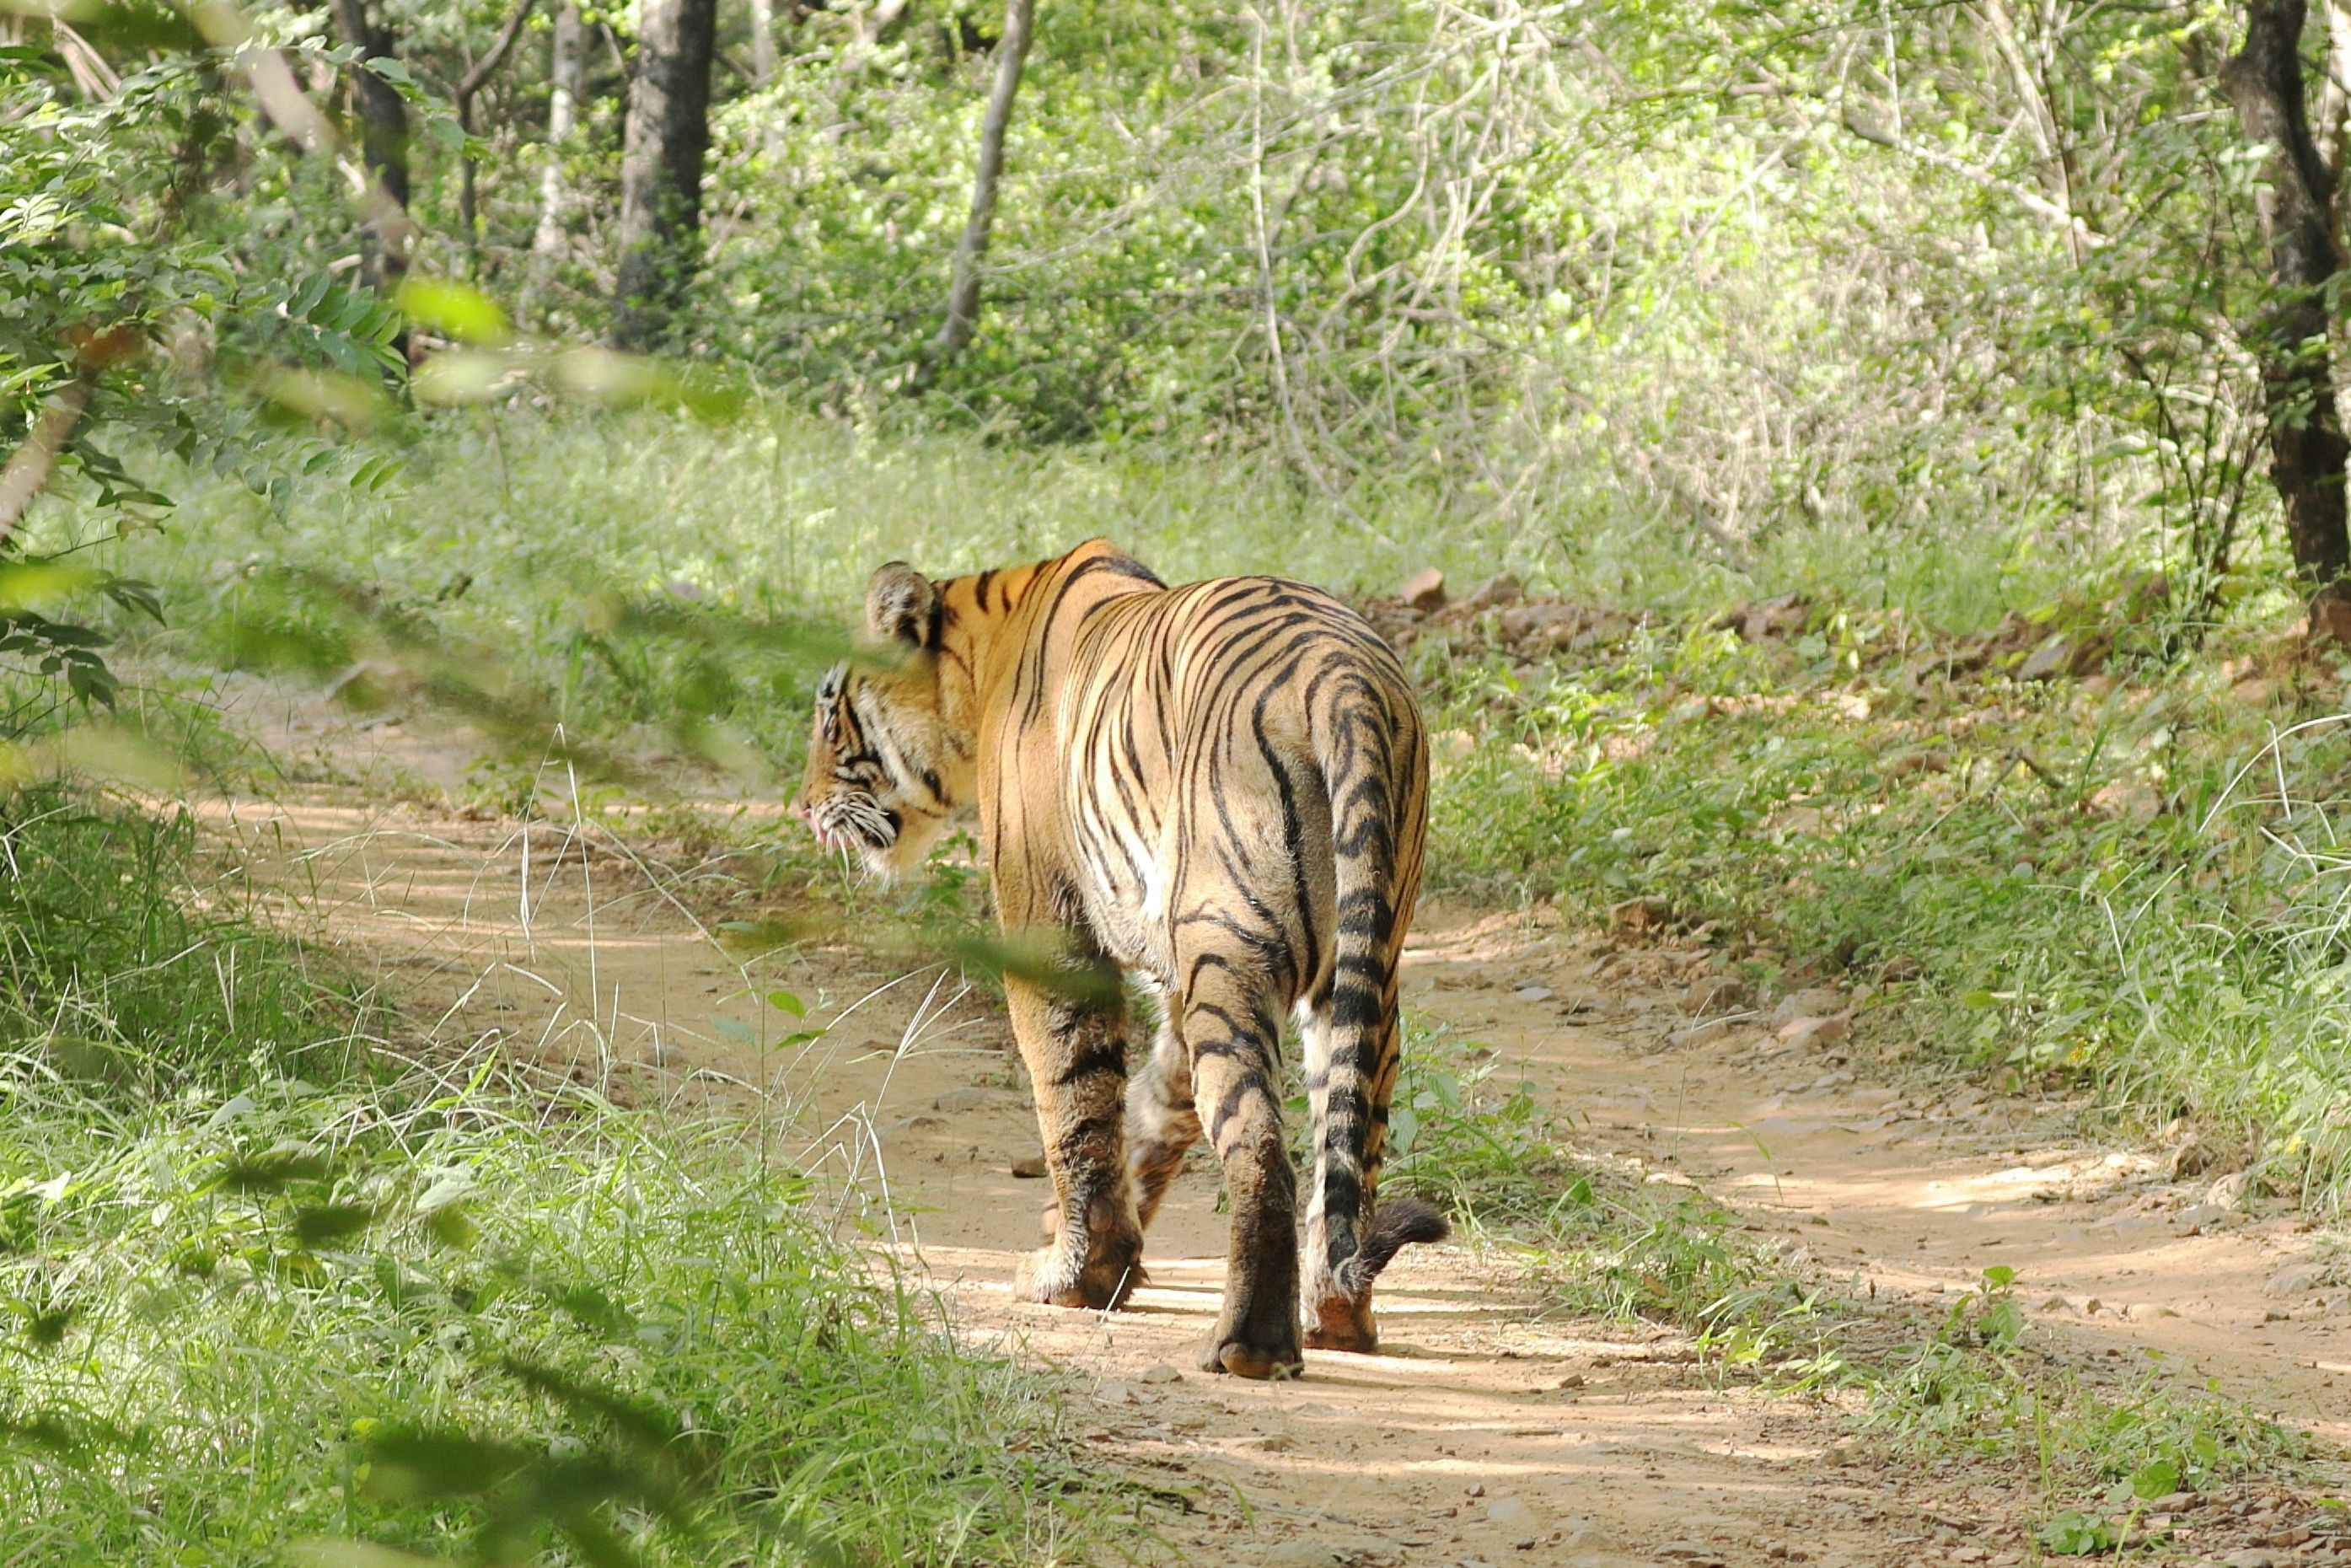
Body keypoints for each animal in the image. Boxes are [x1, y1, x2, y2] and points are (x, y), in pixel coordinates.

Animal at [796, 538, 1446, 1379]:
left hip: (1232, 947)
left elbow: (1073, 1098)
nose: (804, 805)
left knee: (1259, 1148)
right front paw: (1100, 1249)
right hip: (1360, 972)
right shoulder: (1172, 971)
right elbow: (1152, 1104)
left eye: (828, 712)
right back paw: (1337, 1318)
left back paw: (1248, 1345)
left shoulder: (1048, 920)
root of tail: (1345, 680)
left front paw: (1074, 1275)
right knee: (1346, 1150)